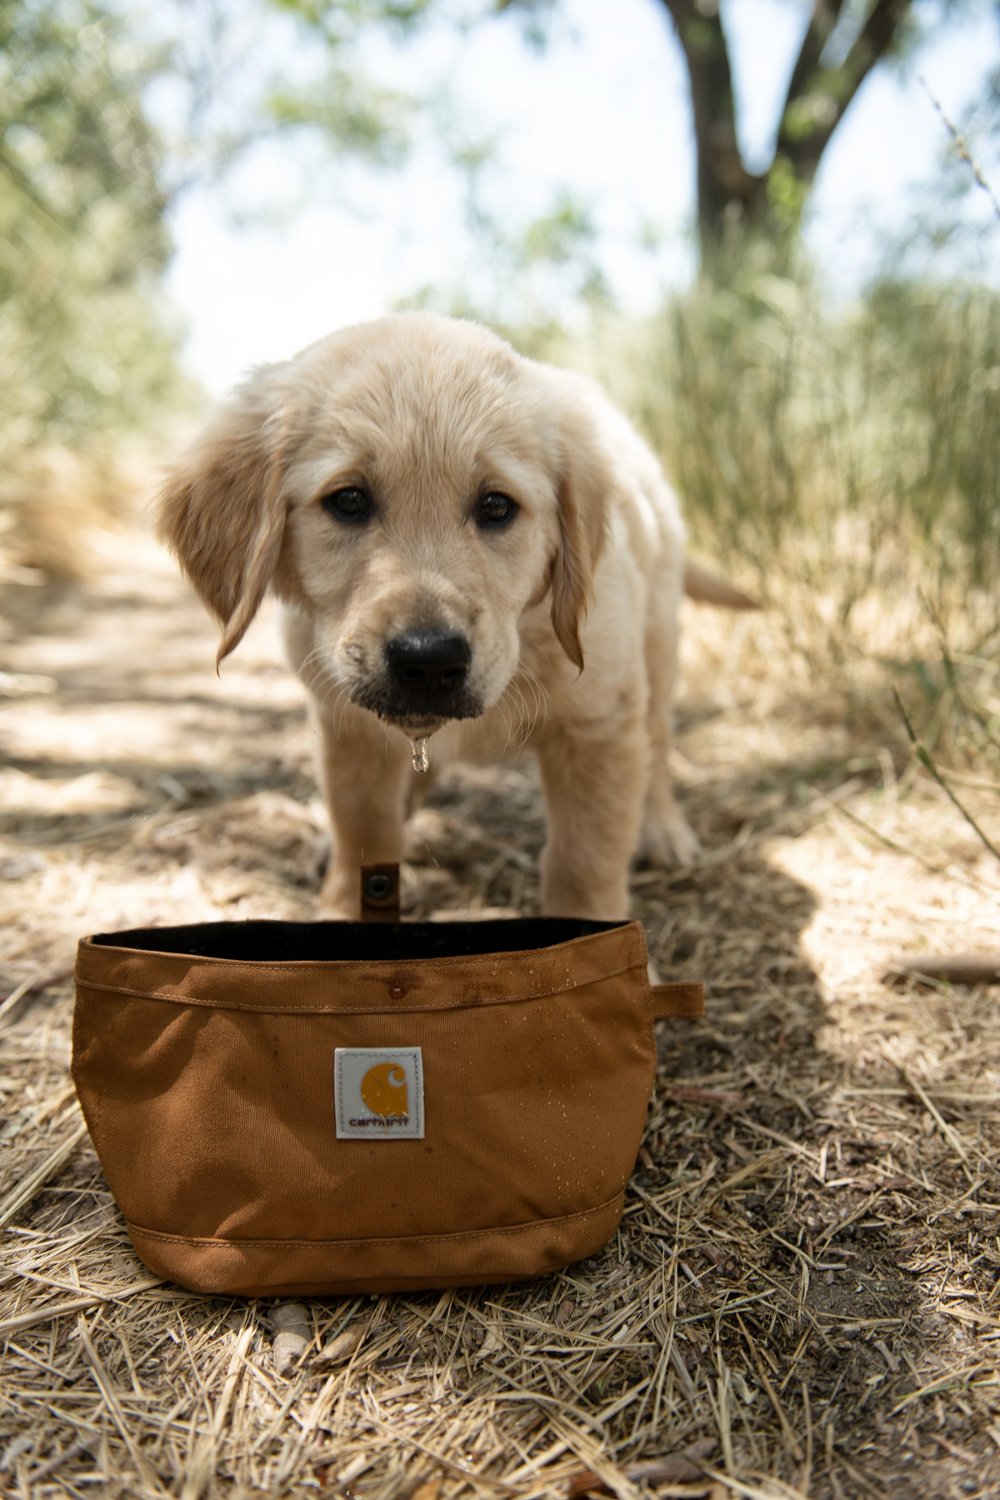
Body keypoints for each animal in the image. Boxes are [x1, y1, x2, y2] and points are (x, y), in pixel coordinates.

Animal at [158, 315, 704, 918]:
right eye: (348, 500)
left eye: (496, 506)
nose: (428, 661)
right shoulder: (346, 724)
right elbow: (363, 828)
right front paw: (345, 907)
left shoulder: (598, 724)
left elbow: (584, 858)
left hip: (657, 646)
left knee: (657, 742)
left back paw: (663, 829)